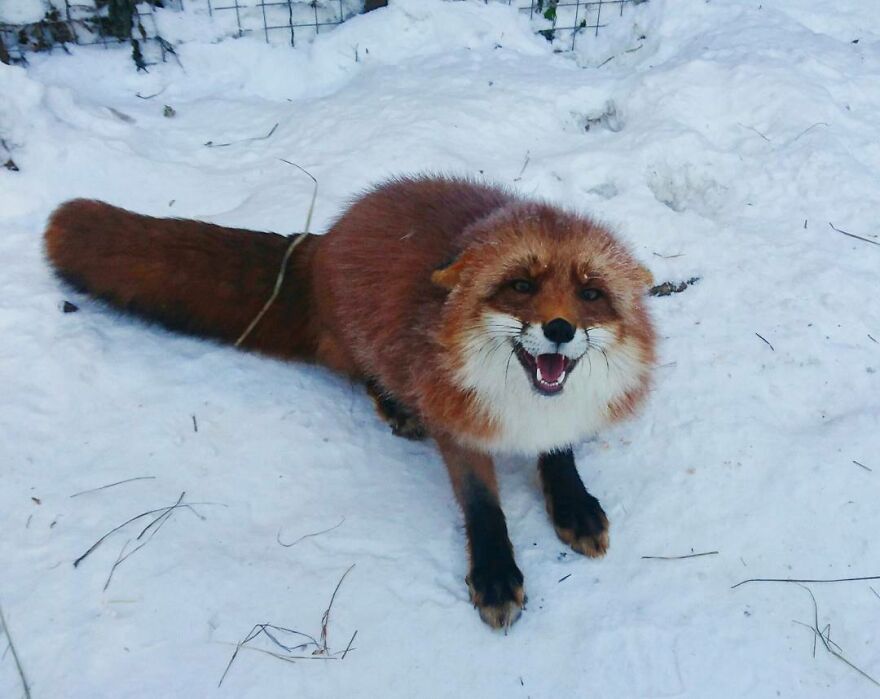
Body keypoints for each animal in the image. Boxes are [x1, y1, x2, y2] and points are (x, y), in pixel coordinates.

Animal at [44, 175, 656, 629]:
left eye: (591, 293)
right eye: (521, 286)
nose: (559, 329)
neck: (525, 406)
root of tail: (325, 237)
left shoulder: (560, 416)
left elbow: (559, 457)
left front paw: (573, 505)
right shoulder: (454, 419)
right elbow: (484, 506)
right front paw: (495, 574)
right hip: (359, 339)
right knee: (360, 371)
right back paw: (394, 405)